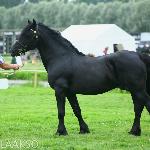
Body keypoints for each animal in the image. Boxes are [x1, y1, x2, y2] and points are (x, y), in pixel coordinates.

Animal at [11, 19, 150, 136]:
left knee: (142, 105)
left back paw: (134, 131)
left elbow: (61, 112)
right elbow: (77, 110)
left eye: (27, 34)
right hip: (134, 90)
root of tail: (138, 55)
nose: (13, 50)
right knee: (139, 107)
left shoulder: (60, 90)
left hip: (137, 89)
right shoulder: (70, 92)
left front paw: (61, 131)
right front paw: (84, 129)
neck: (61, 58)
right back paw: (134, 131)